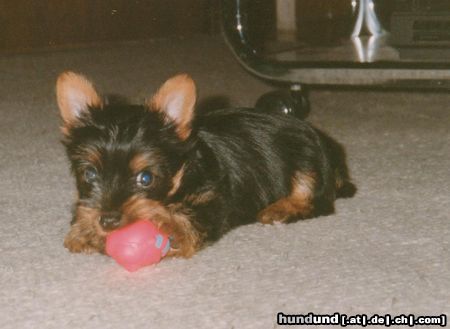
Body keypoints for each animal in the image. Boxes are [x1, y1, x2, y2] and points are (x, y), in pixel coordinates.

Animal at [56, 73, 354, 258]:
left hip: (307, 158)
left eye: (146, 178)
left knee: (315, 198)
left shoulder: (214, 200)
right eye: (89, 174)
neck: (184, 172)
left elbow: (193, 217)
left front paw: (171, 227)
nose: (108, 220)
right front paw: (84, 230)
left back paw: (281, 209)